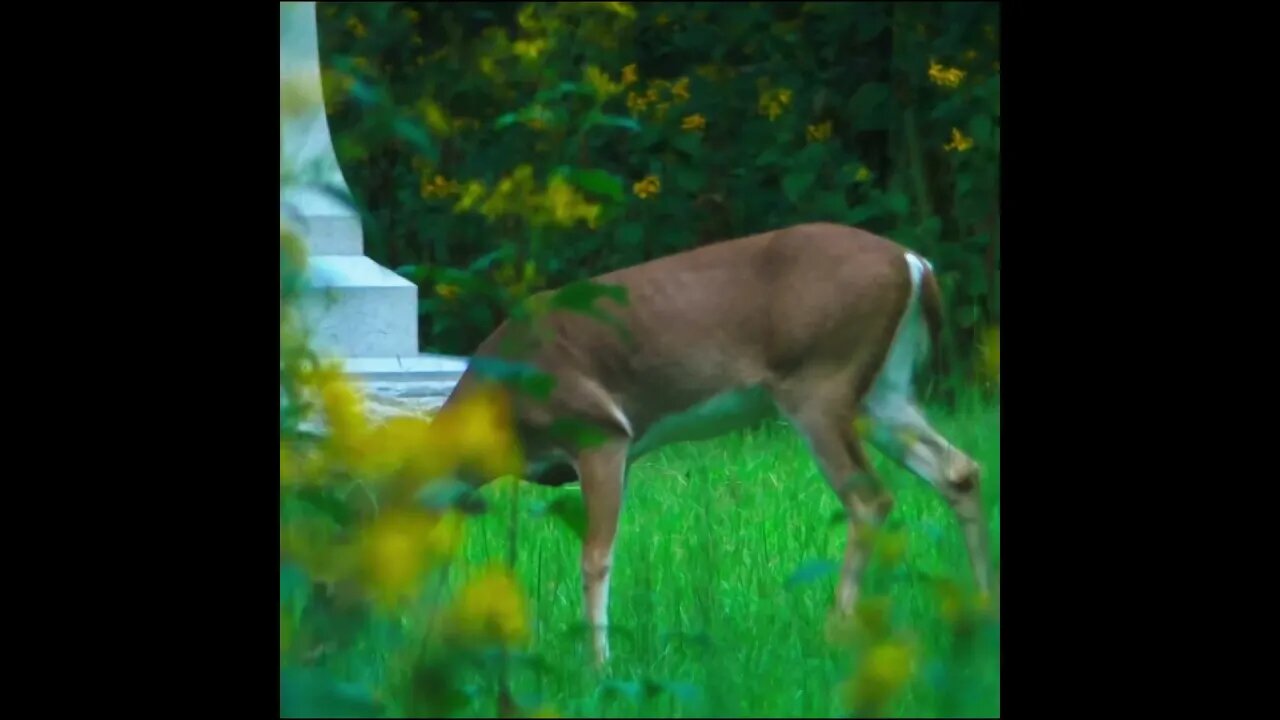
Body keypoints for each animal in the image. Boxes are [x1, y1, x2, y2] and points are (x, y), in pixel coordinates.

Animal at [438, 222, 993, 666]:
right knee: (958, 469)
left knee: (870, 499)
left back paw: (836, 630)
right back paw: (980, 609)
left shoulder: (601, 431)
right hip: (881, 390)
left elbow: (595, 556)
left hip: (820, 381)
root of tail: (915, 264)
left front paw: (599, 668)